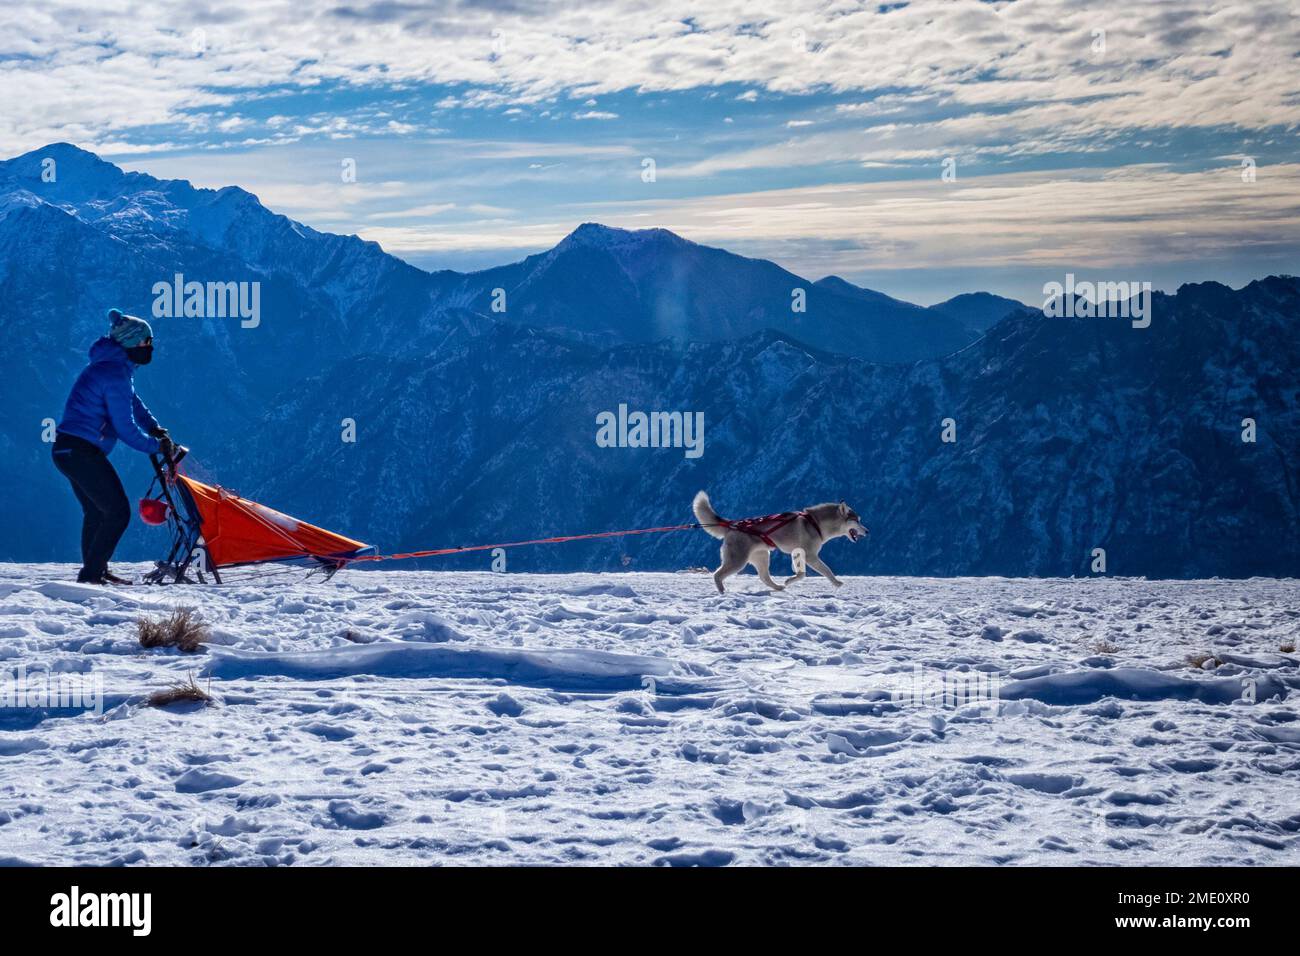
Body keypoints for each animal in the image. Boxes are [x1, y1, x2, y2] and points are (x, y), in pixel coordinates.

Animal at [696, 494, 868, 590]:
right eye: (857, 520)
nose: (867, 531)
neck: (816, 523)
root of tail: (732, 524)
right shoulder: (810, 556)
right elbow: (826, 570)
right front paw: (837, 583)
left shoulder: (798, 554)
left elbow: (801, 574)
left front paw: (789, 581)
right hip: (738, 561)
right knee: (717, 575)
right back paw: (722, 591)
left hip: (762, 557)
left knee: (764, 577)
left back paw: (778, 588)